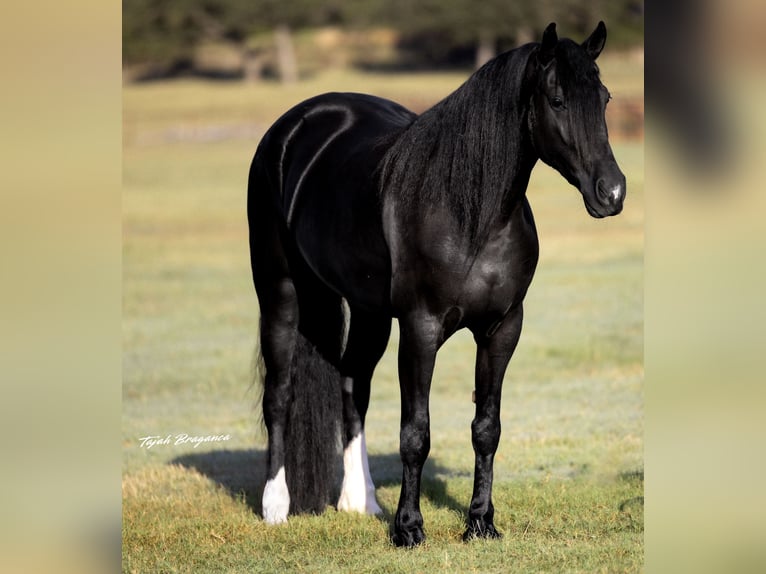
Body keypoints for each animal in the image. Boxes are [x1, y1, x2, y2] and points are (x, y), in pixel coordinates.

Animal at [247, 21, 625, 547]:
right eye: (557, 99)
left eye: (604, 98)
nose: (612, 192)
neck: (472, 216)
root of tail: (291, 127)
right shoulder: (420, 330)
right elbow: (415, 432)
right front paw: (409, 529)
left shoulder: (502, 330)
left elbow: (487, 428)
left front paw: (481, 523)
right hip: (280, 292)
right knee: (280, 394)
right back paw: (276, 507)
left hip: (367, 312)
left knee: (352, 388)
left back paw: (359, 502)